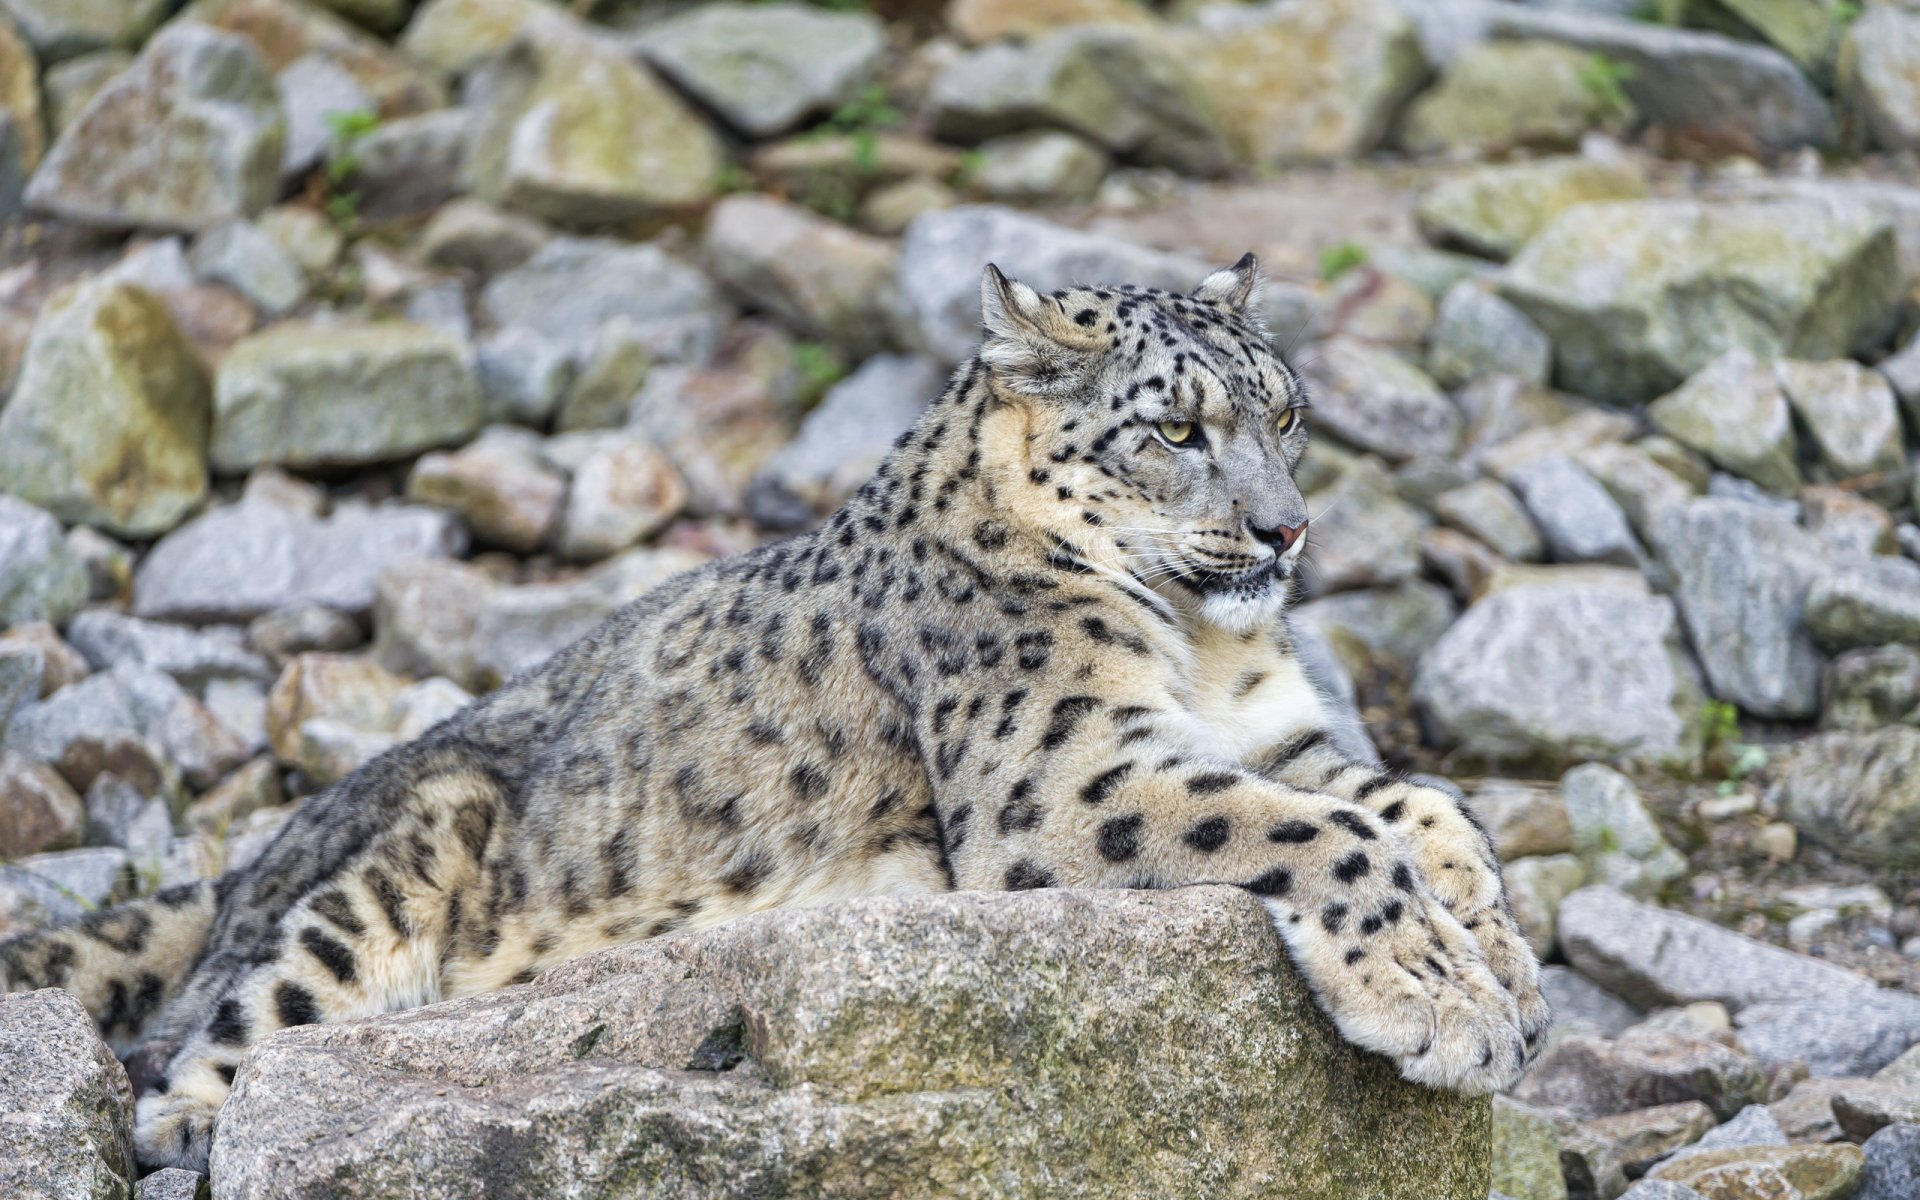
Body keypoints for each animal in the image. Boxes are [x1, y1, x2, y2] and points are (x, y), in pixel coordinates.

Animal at [1, 255, 1548, 1173]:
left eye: (1284, 413)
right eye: (1176, 427)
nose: (1288, 532)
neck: (1209, 656)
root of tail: (245, 864)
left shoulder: (1286, 735)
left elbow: (1419, 799)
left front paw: (1507, 970)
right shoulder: (1069, 772)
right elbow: (1322, 835)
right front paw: (1441, 999)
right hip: (363, 894)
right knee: (192, 1082)